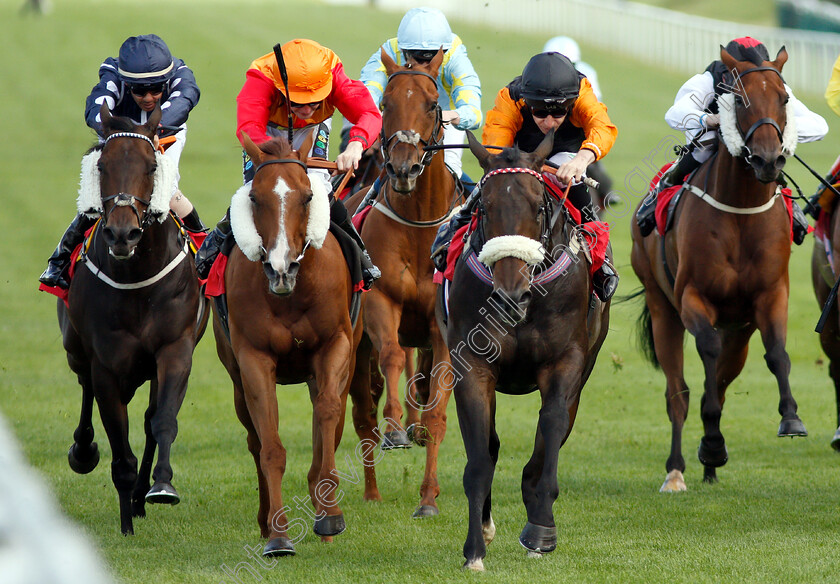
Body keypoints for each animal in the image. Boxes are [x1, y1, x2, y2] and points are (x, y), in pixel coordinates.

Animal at [57, 105, 207, 532]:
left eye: (151, 165)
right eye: (101, 165)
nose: (122, 234)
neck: (137, 278)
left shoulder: (176, 349)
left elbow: (162, 421)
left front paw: (160, 487)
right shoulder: (105, 363)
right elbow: (119, 449)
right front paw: (126, 526)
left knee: (149, 417)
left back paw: (142, 494)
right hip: (75, 349)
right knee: (85, 389)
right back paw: (83, 450)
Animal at [212, 131, 362, 556]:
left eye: (307, 196)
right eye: (255, 198)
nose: (281, 268)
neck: (291, 295)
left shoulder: (335, 345)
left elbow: (327, 415)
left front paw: (330, 514)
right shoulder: (253, 358)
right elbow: (270, 446)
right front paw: (278, 535)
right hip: (235, 377)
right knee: (253, 438)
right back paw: (266, 521)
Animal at [442, 131, 612, 572]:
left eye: (539, 207)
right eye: (484, 207)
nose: (510, 294)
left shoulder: (565, 362)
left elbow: (550, 428)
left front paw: (540, 529)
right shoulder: (472, 365)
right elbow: (480, 457)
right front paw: (474, 549)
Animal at [632, 46, 808, 492]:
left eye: (784, 98)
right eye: (740, 101)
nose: (768, 159)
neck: (740, 213)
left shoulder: (771, 295)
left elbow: (777, 354)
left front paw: (791, 418)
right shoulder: (693, 296)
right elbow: (706, 354)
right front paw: (711, 444)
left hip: (740, 329)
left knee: (723, 382)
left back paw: (709, 468)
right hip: (662, 309)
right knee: (678, 392)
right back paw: (677, 470)